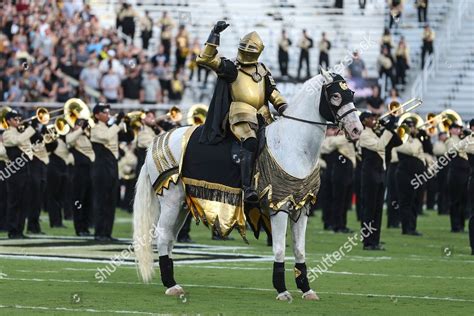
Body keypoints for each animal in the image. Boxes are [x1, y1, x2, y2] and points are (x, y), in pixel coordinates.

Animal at [133, 71, 362, 302]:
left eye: (351, 93)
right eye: (335, 96)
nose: (356, 130)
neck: (293, 145)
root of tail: (156, 141)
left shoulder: (302, 206)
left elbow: (299, 249)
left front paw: (306, 289)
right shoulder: (279, 205)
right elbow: (279, 248)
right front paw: (282, 290)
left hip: (182, 204)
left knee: (170, 237)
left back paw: (172, 281)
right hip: (170, 200)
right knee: (162, 235)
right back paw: (171, 285)